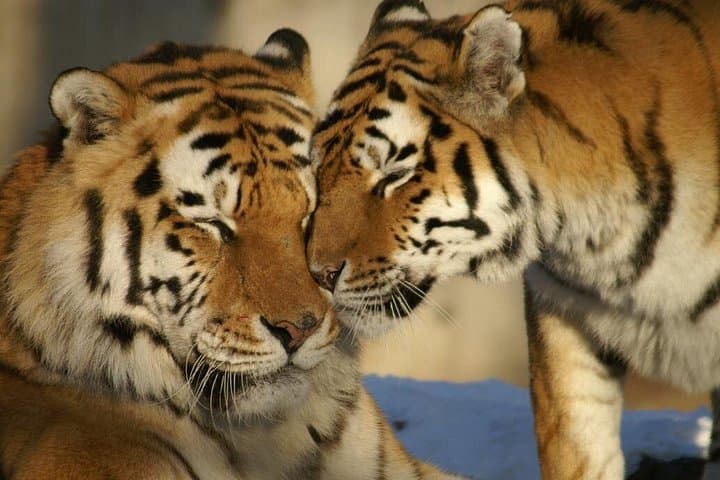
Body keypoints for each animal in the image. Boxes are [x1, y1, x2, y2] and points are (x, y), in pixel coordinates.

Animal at [306, 0, 720, 478]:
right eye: (319, 169)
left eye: (394, 174)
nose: (318, 273)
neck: (596, 240)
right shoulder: (564, 315)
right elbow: (577, 448)